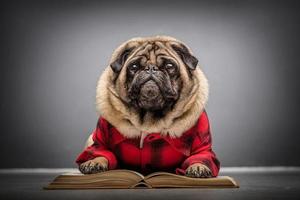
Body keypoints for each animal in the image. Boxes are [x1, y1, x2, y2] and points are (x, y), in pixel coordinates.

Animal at [76, 35, 219, 178]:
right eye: (134, 66)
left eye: (169, 66)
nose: (151, 68)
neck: (149, 117)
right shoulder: (100, 141)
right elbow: (100, 152)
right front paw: (94, 162)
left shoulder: (202, 147)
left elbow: (201, 156)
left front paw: (199, 166)